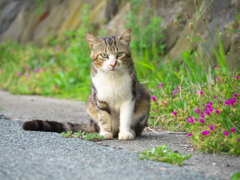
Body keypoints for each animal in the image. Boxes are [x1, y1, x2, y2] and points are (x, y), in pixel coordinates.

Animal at [22, 28, 150, 141]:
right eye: (104, 55)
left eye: (120, 54)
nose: (113, 64)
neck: (112, 78)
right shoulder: (99, 97)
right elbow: (104, 117)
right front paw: (105, 132)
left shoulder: (129, 96)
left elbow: (126, 117)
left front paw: (125, 133)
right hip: (89, 102)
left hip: (145, 96)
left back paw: (131, 131)